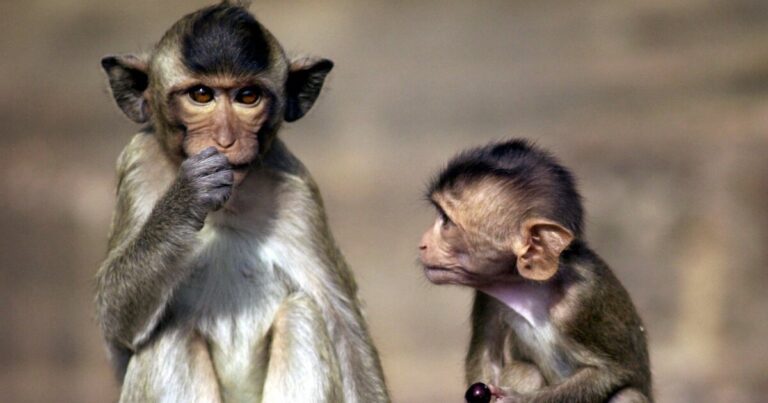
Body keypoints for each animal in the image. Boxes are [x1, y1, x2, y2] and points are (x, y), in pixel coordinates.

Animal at [95, 1, 389, 402]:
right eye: (201, 95)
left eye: (248, 97)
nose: (226, 139)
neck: (227, 203)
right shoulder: (138, 166)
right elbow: (115, 323)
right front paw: (186, 199)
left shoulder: (299, 197)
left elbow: (345, 329)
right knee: (168, 332)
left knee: (303, 314)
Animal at [418, 140, 651, 403]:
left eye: (446, 222)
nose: (423, 243)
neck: (535, 288)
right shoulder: (489, 296)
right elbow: (485, 357)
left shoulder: (583, 303)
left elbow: (611, 372)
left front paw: (516, 400)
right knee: (526, 371)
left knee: (627, 395)